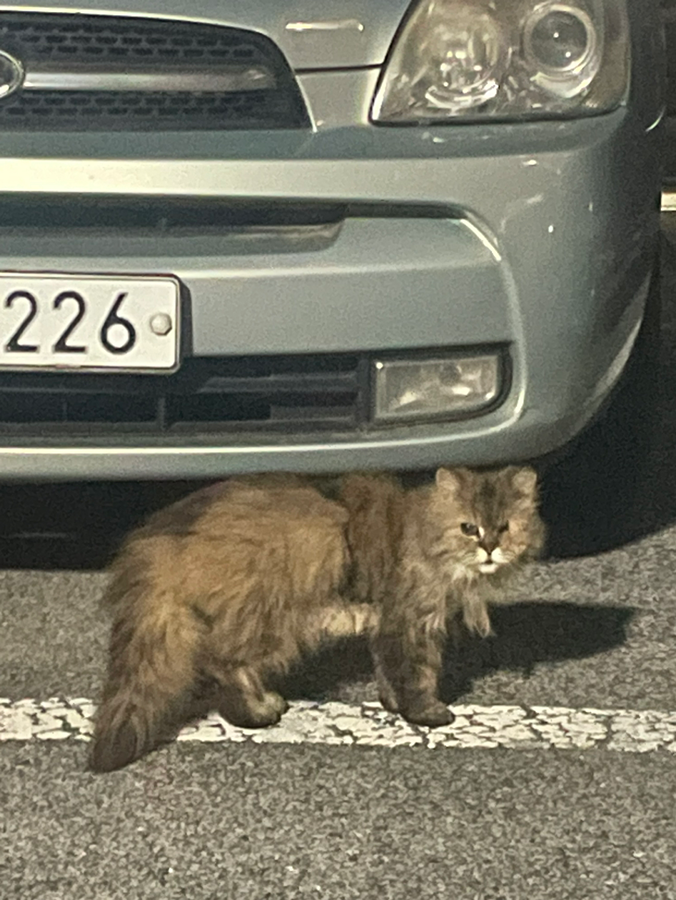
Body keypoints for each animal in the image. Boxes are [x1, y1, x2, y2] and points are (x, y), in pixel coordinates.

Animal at [338, 468, 544, 728]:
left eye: (504, 527)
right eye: (469, 528)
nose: (489, 549)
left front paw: (392, 703)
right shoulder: (405, 621)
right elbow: (414, 673)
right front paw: (425, 712)